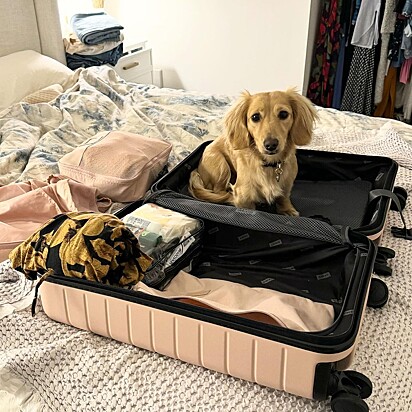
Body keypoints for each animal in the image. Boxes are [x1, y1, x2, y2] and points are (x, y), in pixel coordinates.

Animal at [188, 89, 318, 217]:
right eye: (255, 117)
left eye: (283, 114)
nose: (271, 145)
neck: (269, 165)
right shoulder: (244, 198)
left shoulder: (286, 186)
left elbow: (283, 198)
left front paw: (287, 210)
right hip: (221, 166)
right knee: (218, 190)